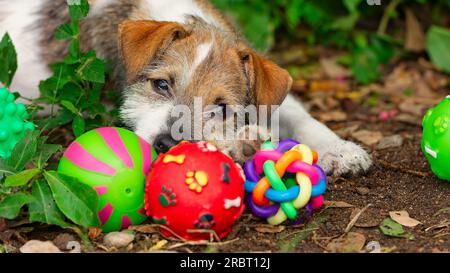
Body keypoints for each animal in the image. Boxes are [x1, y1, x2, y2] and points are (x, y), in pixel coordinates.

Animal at [0, 0, 372, 174]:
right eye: (161, 84)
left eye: (221, 107)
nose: (166, 143)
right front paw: (239, 145)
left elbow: (298, 114)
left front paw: (340, 148)